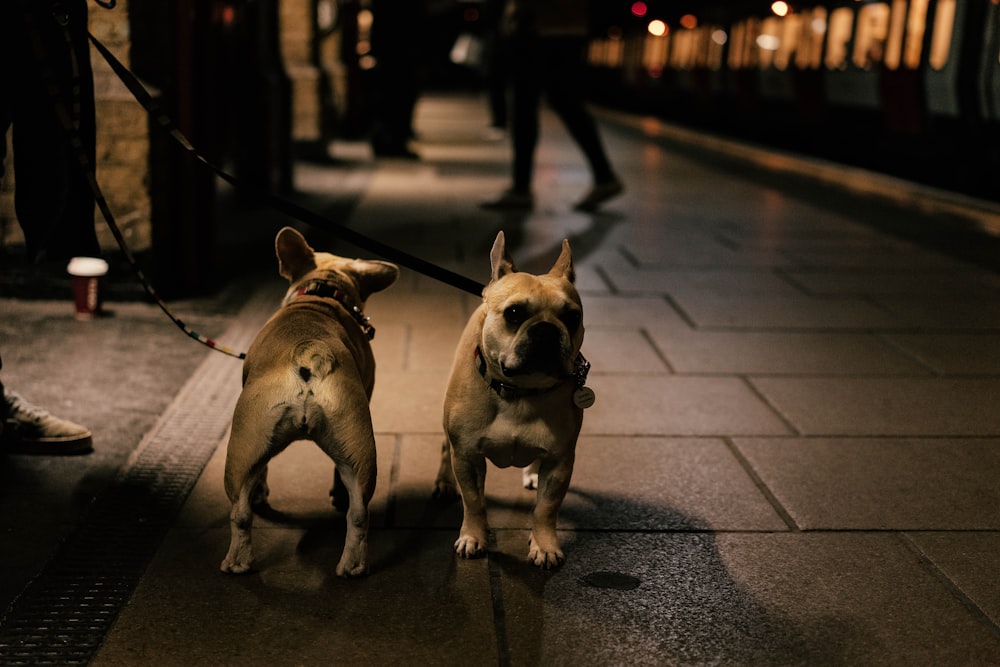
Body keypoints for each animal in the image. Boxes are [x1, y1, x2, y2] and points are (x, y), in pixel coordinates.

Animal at [222, 227, 398, 576]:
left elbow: (263, 471)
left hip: (244, 446)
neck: (323, 295)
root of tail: (309, 349)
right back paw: (351, 565)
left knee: (241, 510)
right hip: (355, 447)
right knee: (358, 513)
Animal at [432, 231, 588, 568]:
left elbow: (546, 508)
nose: (546, 330)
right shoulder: (467, 457)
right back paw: (444, 483)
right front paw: (473, 537)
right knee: (444, 450)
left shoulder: (560, 462)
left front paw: (545, 545)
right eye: (514, 313)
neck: (520, 392)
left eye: (573, 317)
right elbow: (474, 502)